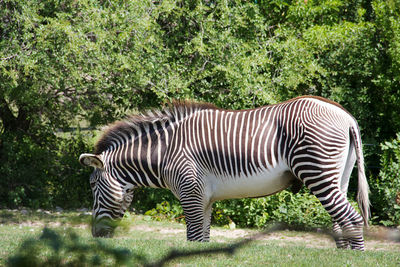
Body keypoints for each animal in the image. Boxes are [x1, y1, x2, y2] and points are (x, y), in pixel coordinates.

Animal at [79, 96, 370, 251]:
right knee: (340, 220)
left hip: (316, 171)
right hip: (339, 175)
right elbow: (203, 238)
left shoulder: (190, 192)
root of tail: (345, 116)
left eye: (92, 185)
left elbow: (194, 236)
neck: (165, 152)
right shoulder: (204, 198)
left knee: (352, 218)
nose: (95, 236)